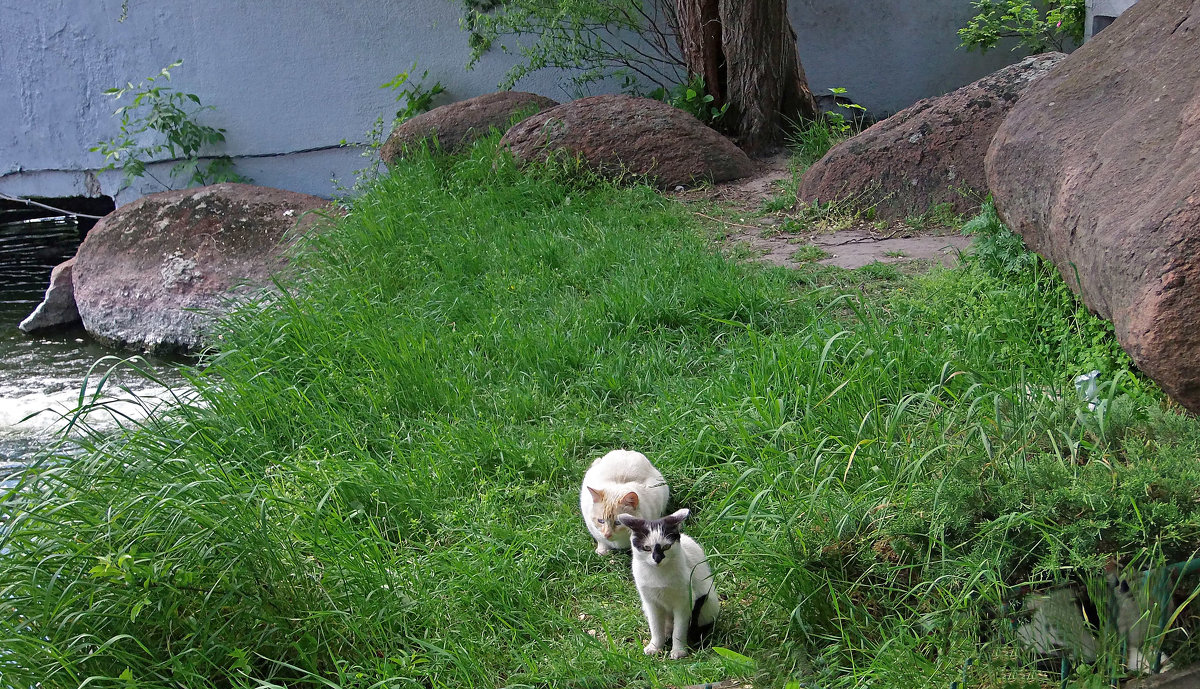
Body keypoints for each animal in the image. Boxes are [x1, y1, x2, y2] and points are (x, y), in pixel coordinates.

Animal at [614, 511, 715, 662]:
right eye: (647, 548)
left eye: (666, 547)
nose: (657, 559)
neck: (658, 575)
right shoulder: (651, 604)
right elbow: (656, 628)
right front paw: (655, 647)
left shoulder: (684, 602)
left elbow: (679, 630)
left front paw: (678, 651)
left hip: (708, 602)